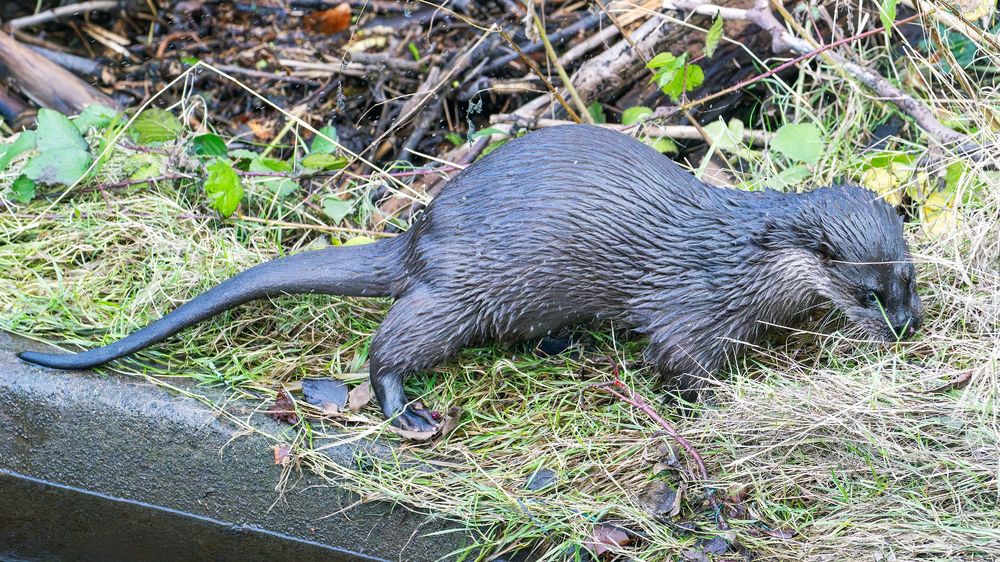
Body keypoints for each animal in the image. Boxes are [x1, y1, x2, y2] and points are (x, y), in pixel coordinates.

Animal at [19, 125, 923, 432]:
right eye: (868, 292)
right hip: (459, 296)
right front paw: (727, 397)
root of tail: (419, 236)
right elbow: (679, 361)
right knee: (389, 347)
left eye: (910, 282)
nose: (907, 327)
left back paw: (562, 344)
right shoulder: (690, 309)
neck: (739, 258)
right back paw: (405, 411)